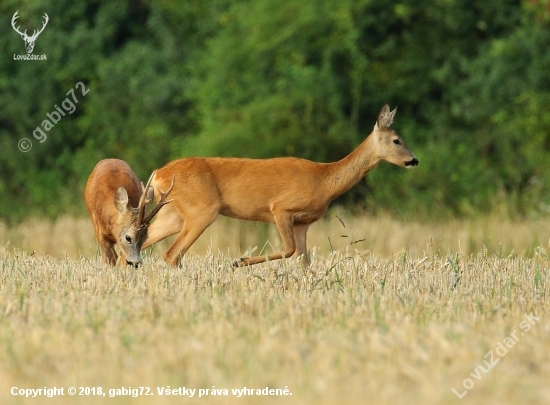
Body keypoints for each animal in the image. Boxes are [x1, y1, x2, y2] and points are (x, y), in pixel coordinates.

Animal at [141, 104, 418, 266]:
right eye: (397, 140)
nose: (414, 160)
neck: (325, 180)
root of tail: (158, 173)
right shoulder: (281, 208)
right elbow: (289, 250)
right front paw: (239, 261)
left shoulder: (303, 223)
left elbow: (305, 261)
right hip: (202, 209)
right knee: (172, 253)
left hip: (174, 213)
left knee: (140, 240)